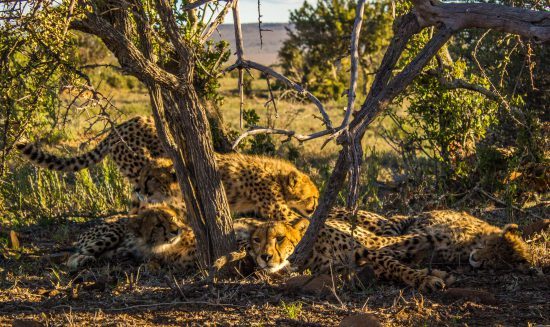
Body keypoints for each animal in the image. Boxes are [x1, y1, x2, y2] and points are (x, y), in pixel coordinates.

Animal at [18, 115, 320, 220]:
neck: (275, 175)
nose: (316, 205)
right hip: (140, 173)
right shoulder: (275, 206)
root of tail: (122, 124)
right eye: (314, 196)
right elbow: (299, 220)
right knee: (140, 200)